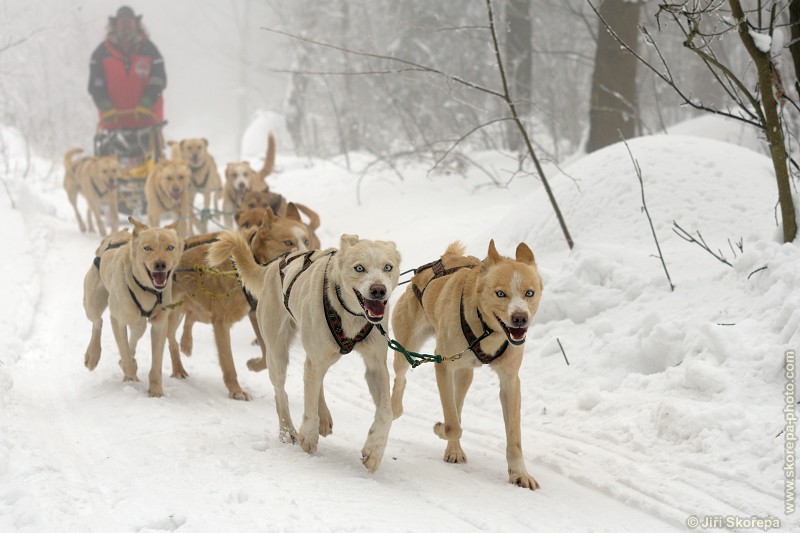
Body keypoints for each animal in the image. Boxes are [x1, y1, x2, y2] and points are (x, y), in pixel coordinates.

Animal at [83, 215, 185, 394]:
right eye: (147, 248)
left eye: (170, 247)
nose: (160, 264)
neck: (147, 290)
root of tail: (114, 236)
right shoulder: (117, 319)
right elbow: (124, 354)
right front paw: (129, 369)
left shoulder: (159, 324)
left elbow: (156, 363)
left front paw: (156, 392)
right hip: (92, 304)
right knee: (97, 322)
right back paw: (93, 355)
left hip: (139, 322)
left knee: (134, 335)